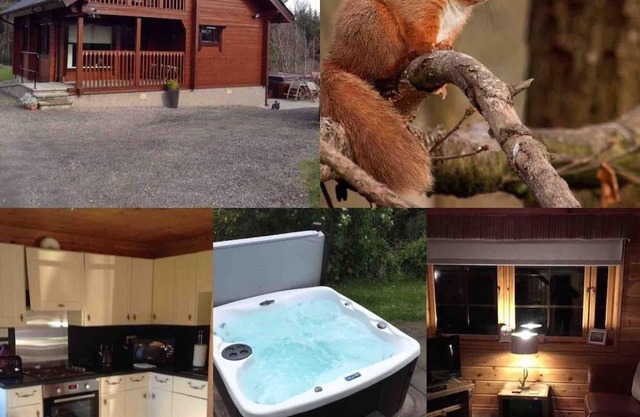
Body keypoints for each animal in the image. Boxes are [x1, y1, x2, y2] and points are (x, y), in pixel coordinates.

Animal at [321, 0, 487, 202]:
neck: (455, 9)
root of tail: (339, 58)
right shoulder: (420, 12)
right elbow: (420, 32)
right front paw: (431, 48)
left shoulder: (452, 30)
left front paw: (441, 82)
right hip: (376, 29)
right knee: (372, 72)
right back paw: (394, 75)